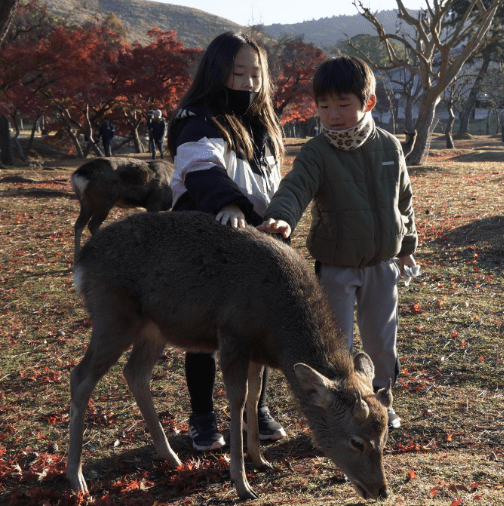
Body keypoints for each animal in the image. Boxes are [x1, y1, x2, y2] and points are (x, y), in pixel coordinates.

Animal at [69, 211, 394, 502]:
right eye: (356, 441)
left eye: (384, 437)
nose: (381, 490)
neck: (277, 330)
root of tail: (81, 262)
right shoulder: (232, 337)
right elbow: (236, 400)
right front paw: (242, 483)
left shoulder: (256, 352)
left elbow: (254, 395)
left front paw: (260, 460)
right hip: (113, 317)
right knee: (80, 377)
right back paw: (77, 478)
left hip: (154, 329)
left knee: (135, 373)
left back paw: (171, 457)